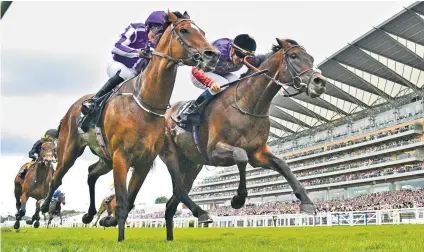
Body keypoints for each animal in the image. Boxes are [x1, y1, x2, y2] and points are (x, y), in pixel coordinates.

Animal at [39, 10, 220, 241]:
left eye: (203, 31)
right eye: (184, 30)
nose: (212, 55)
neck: (145, 103)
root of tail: (74, 106)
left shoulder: (144, 161)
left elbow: (131, 199)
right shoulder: (122, 157)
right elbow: (123, 201)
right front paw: (120, 238)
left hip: (105, 159)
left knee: (91, 172)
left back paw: (89, 214)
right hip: (69, 152)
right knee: (57, 178)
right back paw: (44, 207)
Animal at [159, 38, 328, 239]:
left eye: (311, 58)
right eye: (294, 56)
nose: (319, 82)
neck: (248, 105)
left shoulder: (258, 154)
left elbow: (283, 165)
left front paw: (307, 202)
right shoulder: (214, 151)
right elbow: (241, 156)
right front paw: (237, 199)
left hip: (193, 164)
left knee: (172, 202)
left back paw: (172, 237)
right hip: (171, 154)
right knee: (178, 188)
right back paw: (202, 213)